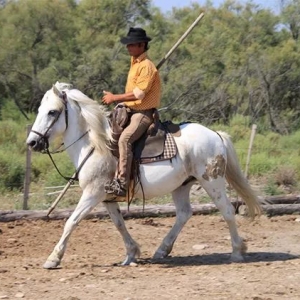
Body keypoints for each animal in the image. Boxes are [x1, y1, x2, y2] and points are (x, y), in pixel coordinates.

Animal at [25, 81, 262, 268]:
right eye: (39, 110)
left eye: (52, 112)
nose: (32, 142)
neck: (95, 144)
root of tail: (215, 134)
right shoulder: (107, 198)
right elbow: (119, 224)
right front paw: (131, 253)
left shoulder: (92, 194)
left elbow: (71, 221)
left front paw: (53, 259)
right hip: (182, 185)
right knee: (184, 213)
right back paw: (162, 250)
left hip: (212, 181)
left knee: (227, 211)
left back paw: (237, 252)